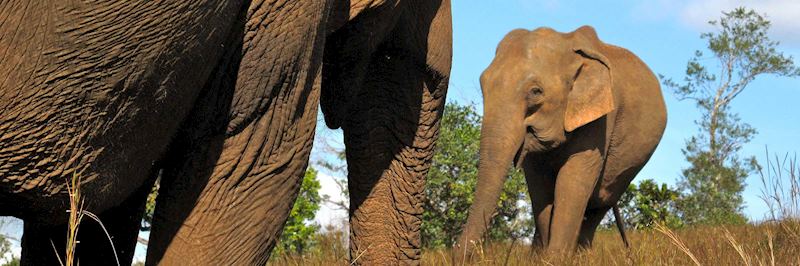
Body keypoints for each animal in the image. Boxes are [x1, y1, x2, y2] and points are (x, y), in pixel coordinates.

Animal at [456, 26, 668, 256]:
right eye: (482, 85)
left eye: (536, 91)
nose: (458, 250)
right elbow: (539, 186)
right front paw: (541, 257)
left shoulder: (601, 118)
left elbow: (573, 181)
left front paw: (554, 258)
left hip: (627, 168)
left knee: (599, 203)